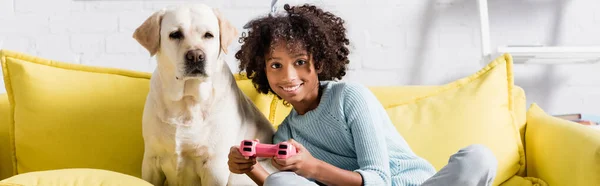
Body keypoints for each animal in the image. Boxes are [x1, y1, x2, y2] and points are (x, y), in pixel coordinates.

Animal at [132, 3, 276, 186]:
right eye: (175, 34)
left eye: (208, 35)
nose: (196, 56)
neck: (187, 100)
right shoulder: (152, 159)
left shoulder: (214, 167)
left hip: (237, 176)